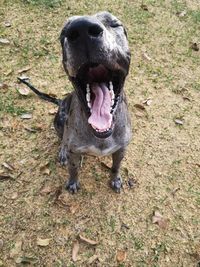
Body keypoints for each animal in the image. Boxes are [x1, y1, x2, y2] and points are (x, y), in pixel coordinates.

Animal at [18, 11, 131, 194]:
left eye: (114, 23)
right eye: (63, 33)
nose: (82, 28)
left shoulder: (121, 149)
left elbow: (116, 167)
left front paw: (115, 179)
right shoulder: (74, 151)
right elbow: (73, 168)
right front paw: (72, 182)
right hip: (59, 121)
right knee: (63, 137)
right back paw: (63, 150)